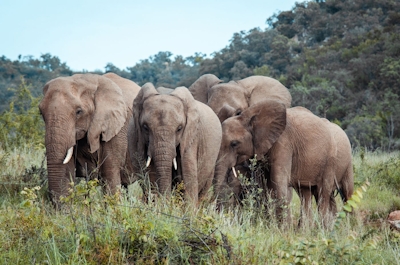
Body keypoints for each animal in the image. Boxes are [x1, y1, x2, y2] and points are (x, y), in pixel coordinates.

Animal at [214, 99, 352, 225]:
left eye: (234, 143)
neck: (247, 116)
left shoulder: (283, 142)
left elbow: (278, 182)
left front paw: (284, 230)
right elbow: (263, 185)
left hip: (333, 159)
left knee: (330, 192)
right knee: (305, 193)